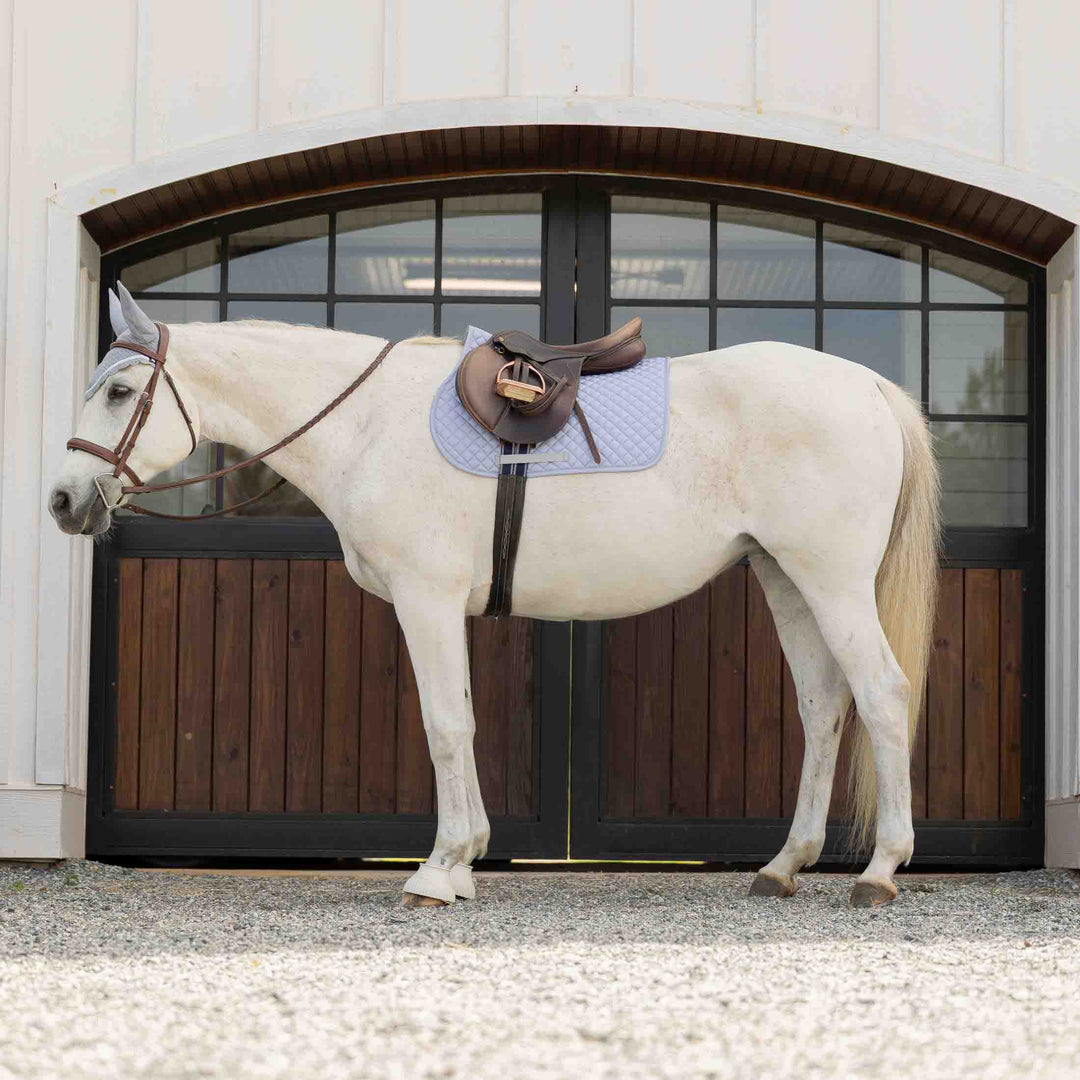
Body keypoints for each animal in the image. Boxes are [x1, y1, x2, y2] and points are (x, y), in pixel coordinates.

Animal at [49, 283, 940, 909]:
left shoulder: (426, 599)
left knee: (882, 695)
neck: (367, 425)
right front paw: (467, 861)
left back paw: (880, 872)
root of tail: (868, 387)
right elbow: (465, 721)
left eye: (121, 393)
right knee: (824, 708)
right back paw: (783, 867)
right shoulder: (443, 608)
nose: (63, 501)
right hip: (786, 578)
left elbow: (445, 725)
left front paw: (437, 871)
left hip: (831, 581)